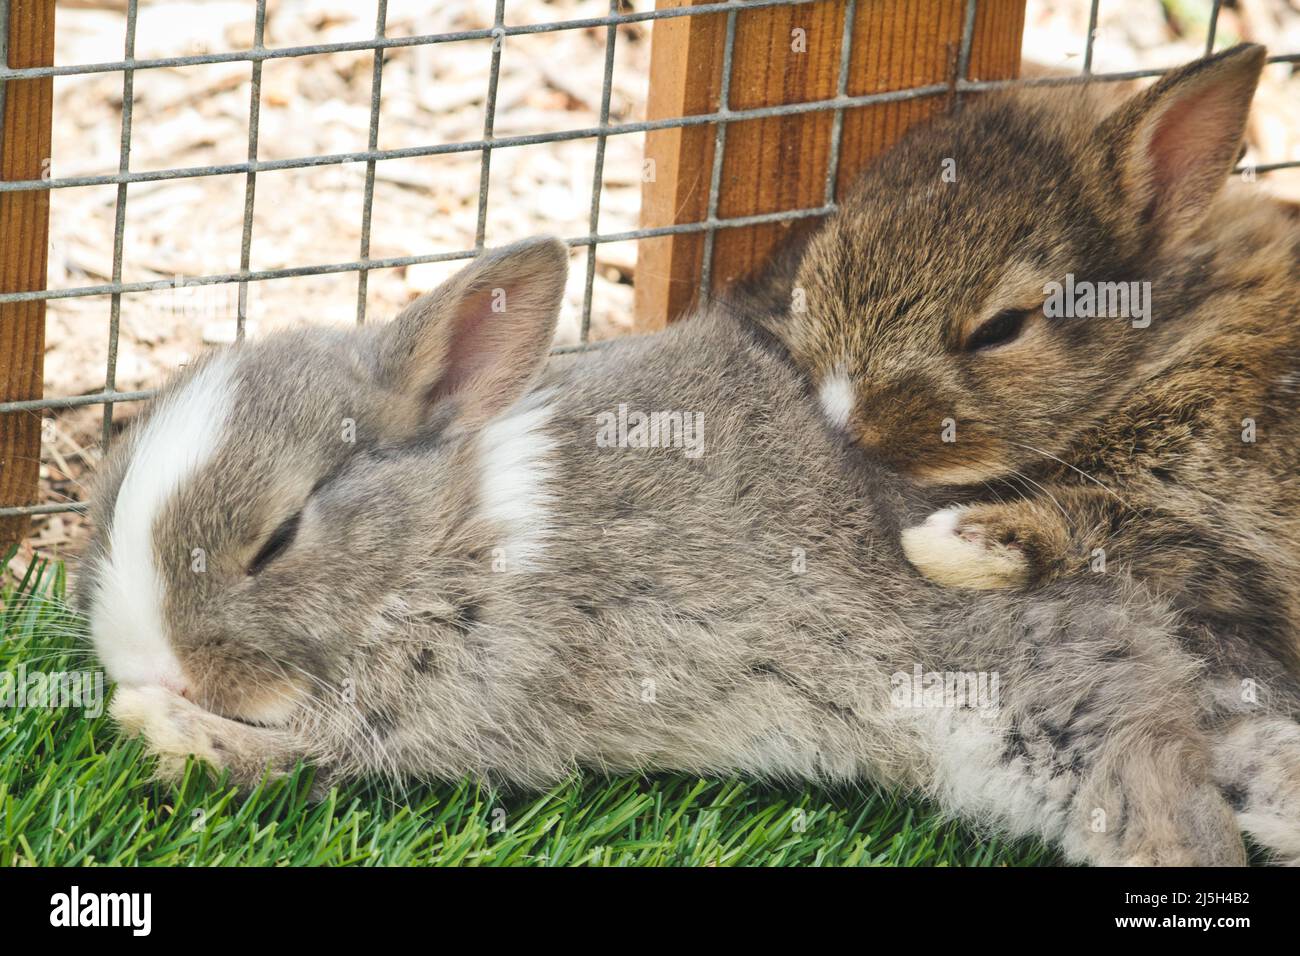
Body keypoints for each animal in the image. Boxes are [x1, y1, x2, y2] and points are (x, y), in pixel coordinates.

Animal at [86, 239, 1294, 868]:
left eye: (278, 537)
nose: (139, 658)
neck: (460, 534)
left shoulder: (441, 713)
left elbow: (296, 759)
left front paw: (155, 724)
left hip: (1044, 710)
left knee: (1168, 806)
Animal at [748, 42, 1300, 671]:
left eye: (1002, 328)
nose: (844, 416)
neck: (1169, 340)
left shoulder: (1239, 527)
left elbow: (1127, 526)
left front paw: (950, 541)